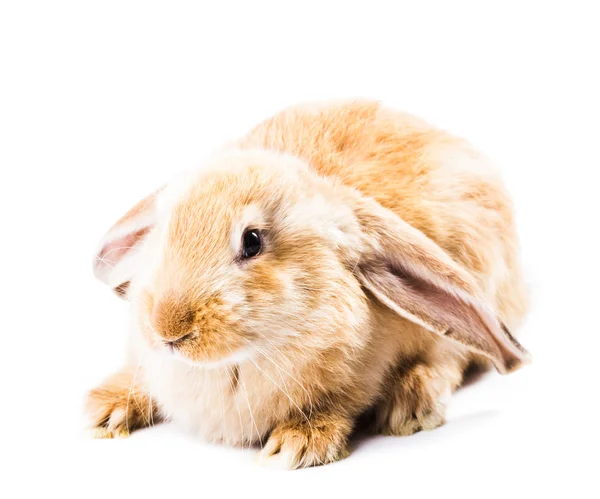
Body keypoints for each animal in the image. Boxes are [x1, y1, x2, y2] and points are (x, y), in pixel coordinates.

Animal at [85, 99, 528, 470]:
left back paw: (411, 403)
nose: (167, 328)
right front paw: (104, 409)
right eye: (164, 230)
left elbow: (338, 407)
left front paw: (296, 445)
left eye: (252, 241)